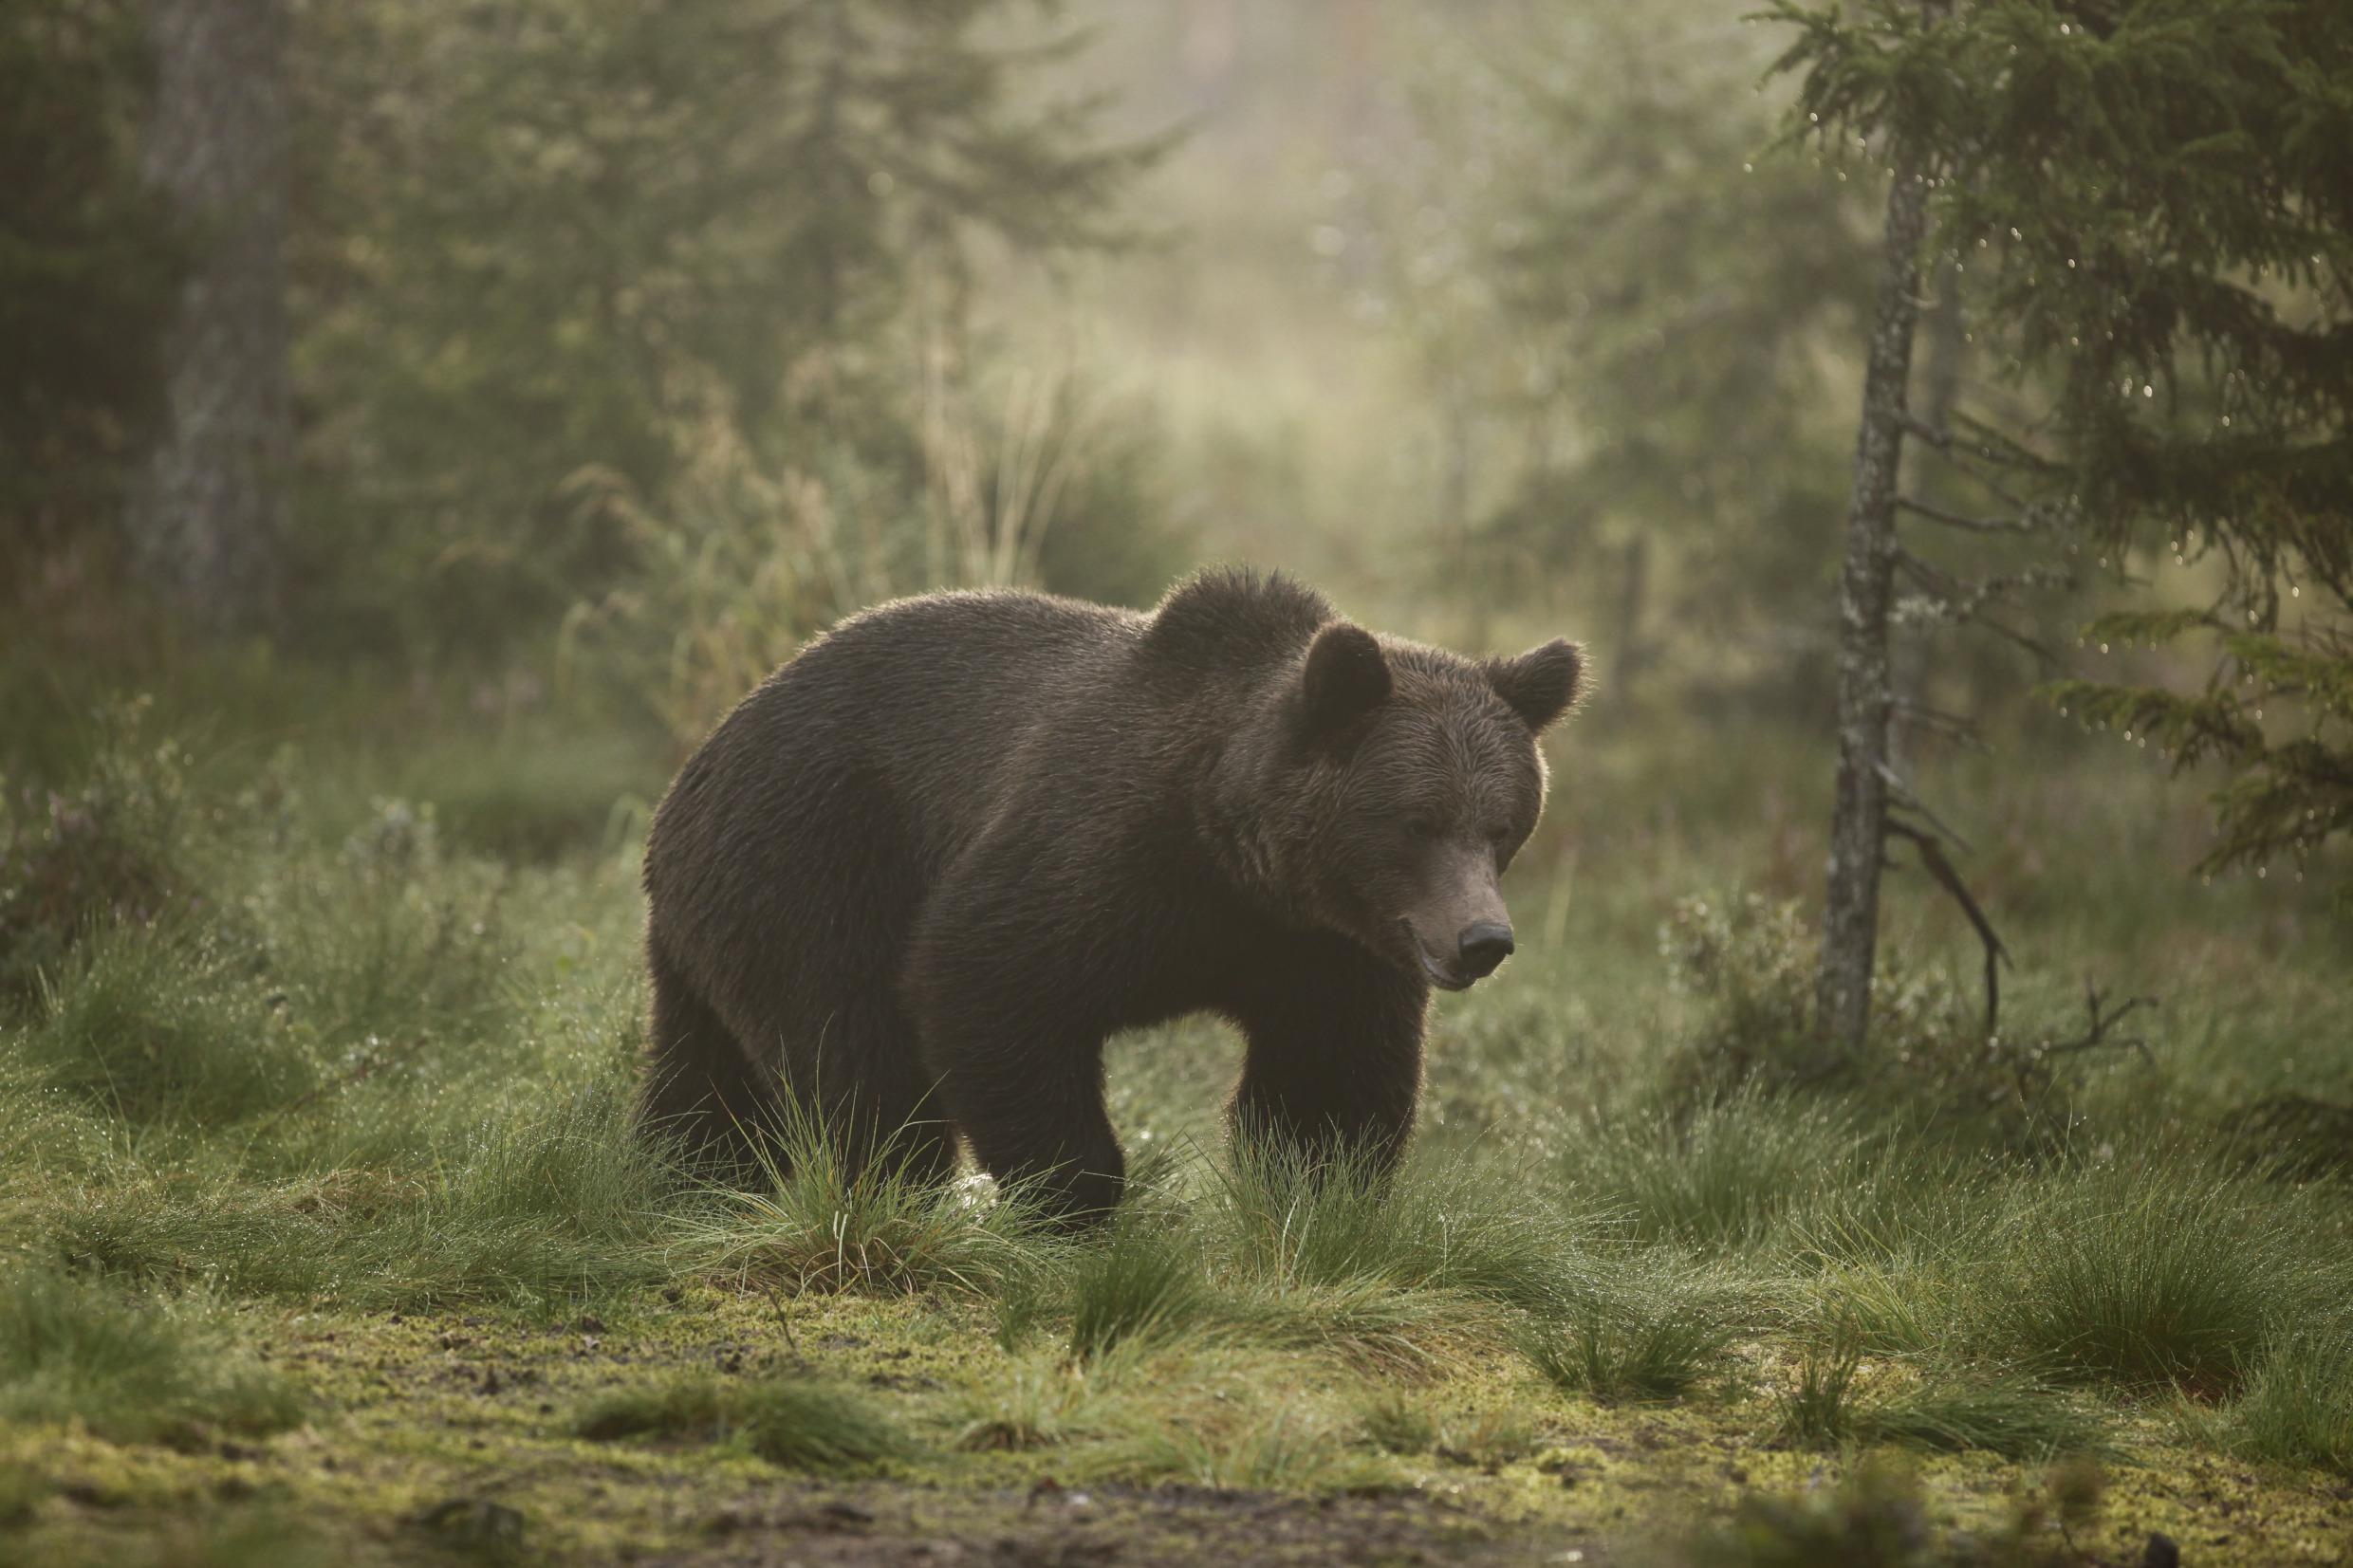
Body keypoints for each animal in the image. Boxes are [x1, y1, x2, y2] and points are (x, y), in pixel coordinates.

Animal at [636, 567, 1582, 1221]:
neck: (1240, 863)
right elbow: (987, 975)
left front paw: (1317, 1194)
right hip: (814, 858)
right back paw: (887, 1185)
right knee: (857, 1053)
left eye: (1503, 825)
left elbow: (1328, 1082)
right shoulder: (1104, 852)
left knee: (707, 1077)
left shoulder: (1325, 949)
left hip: (718, 921)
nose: (1481, 939)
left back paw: (686, 1176)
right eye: (1418, 821)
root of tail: (701, 758)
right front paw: (1075, 1191)